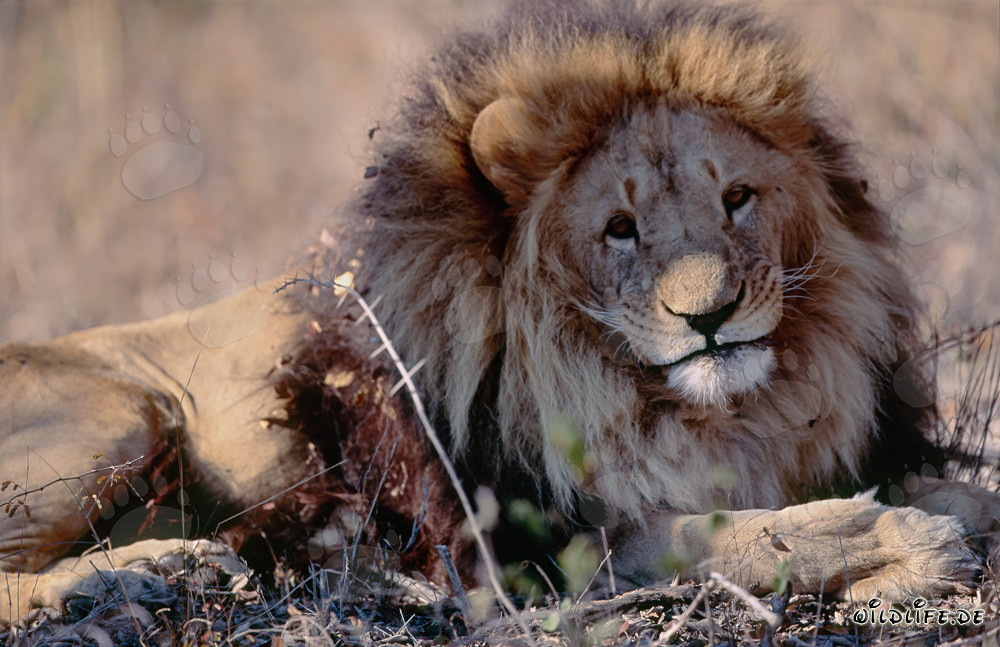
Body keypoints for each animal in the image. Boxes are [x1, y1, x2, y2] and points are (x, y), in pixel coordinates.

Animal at [1, 0, 998, 625]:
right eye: (620, 229)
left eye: (738, 199)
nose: (709, 316)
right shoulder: (553, 543)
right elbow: (746, 532)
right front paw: (908, 544)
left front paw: (950, 511)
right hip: (123, 410)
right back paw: (126, 580)